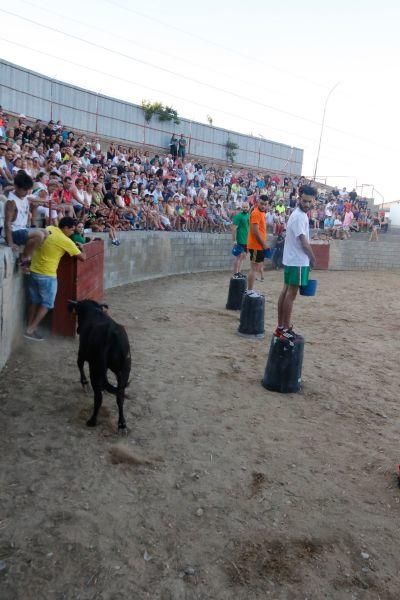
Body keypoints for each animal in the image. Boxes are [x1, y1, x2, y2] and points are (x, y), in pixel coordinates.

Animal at [68, 300, 131, 432]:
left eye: (78, 313)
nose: (78, 330)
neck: (94, 310)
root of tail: (111, 333)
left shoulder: (82, 353)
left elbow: (79, 364)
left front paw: (85, 384)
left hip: (95, 368)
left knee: (98, 397)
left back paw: (92, 420)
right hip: (124, 370)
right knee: (120, 396)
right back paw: (122, 425)